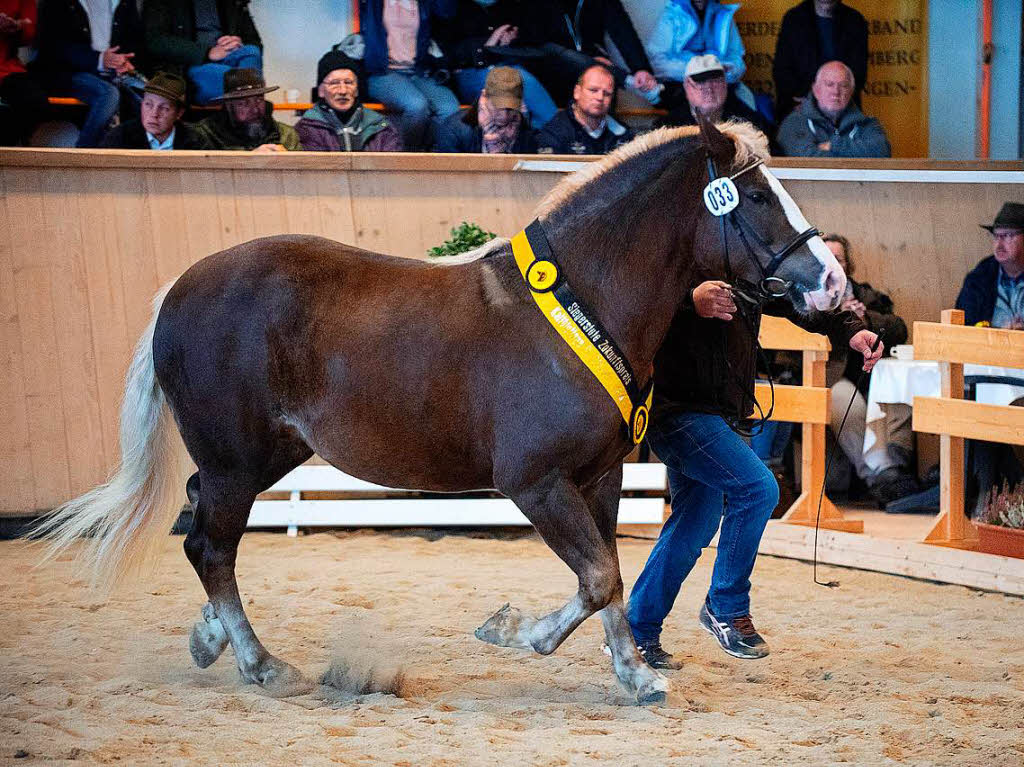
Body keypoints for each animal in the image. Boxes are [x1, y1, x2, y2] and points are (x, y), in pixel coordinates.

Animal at [37, 116, 839, 704]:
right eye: (757, 198)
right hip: (238, 462)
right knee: (211, 545)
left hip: (264, 455)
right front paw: (517, 632)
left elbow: (608, 573)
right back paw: (262, 665)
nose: (830, 283)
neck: (580, 299)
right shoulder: (535, 482)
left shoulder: (600, 477)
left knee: (203, 525)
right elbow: (596, 577)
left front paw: (634, 673)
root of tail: (178, 290)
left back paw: (211, 639)